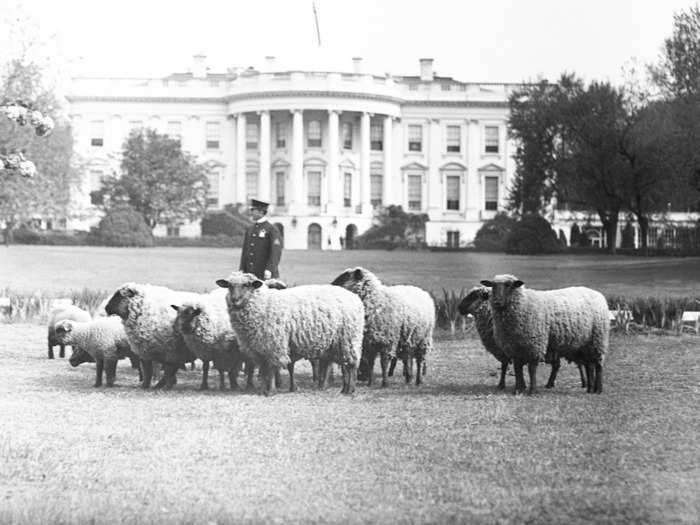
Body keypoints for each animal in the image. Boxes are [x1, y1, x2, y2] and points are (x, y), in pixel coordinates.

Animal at [216, 272, 364, 396]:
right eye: (229, 286)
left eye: (246, 285)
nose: (234, 300)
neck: (264, 304)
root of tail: (354, 297)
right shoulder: (259, 348)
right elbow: (263, 370)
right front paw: (262, 389)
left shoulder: (274, 345)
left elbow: (271, 369)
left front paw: (270, 391)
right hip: (333, 343)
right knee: (335, 365)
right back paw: (337, 388)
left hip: (349, 338)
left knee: (351, 365)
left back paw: (350, 390)